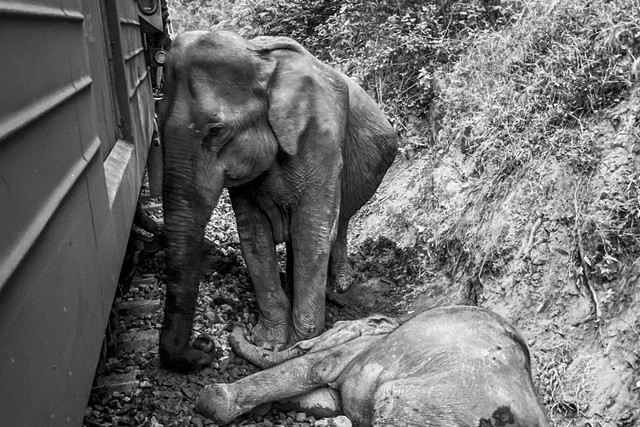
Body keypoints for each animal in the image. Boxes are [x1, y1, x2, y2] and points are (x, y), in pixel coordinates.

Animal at [158, 30, 398, 372]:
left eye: (216, 131)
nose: (204, 346)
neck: (261, 59)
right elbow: (253, 236)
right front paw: (269, 342)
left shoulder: (322, 139)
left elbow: (313, 230)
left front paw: (302, 340)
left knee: (338, 224)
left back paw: (338, 286)